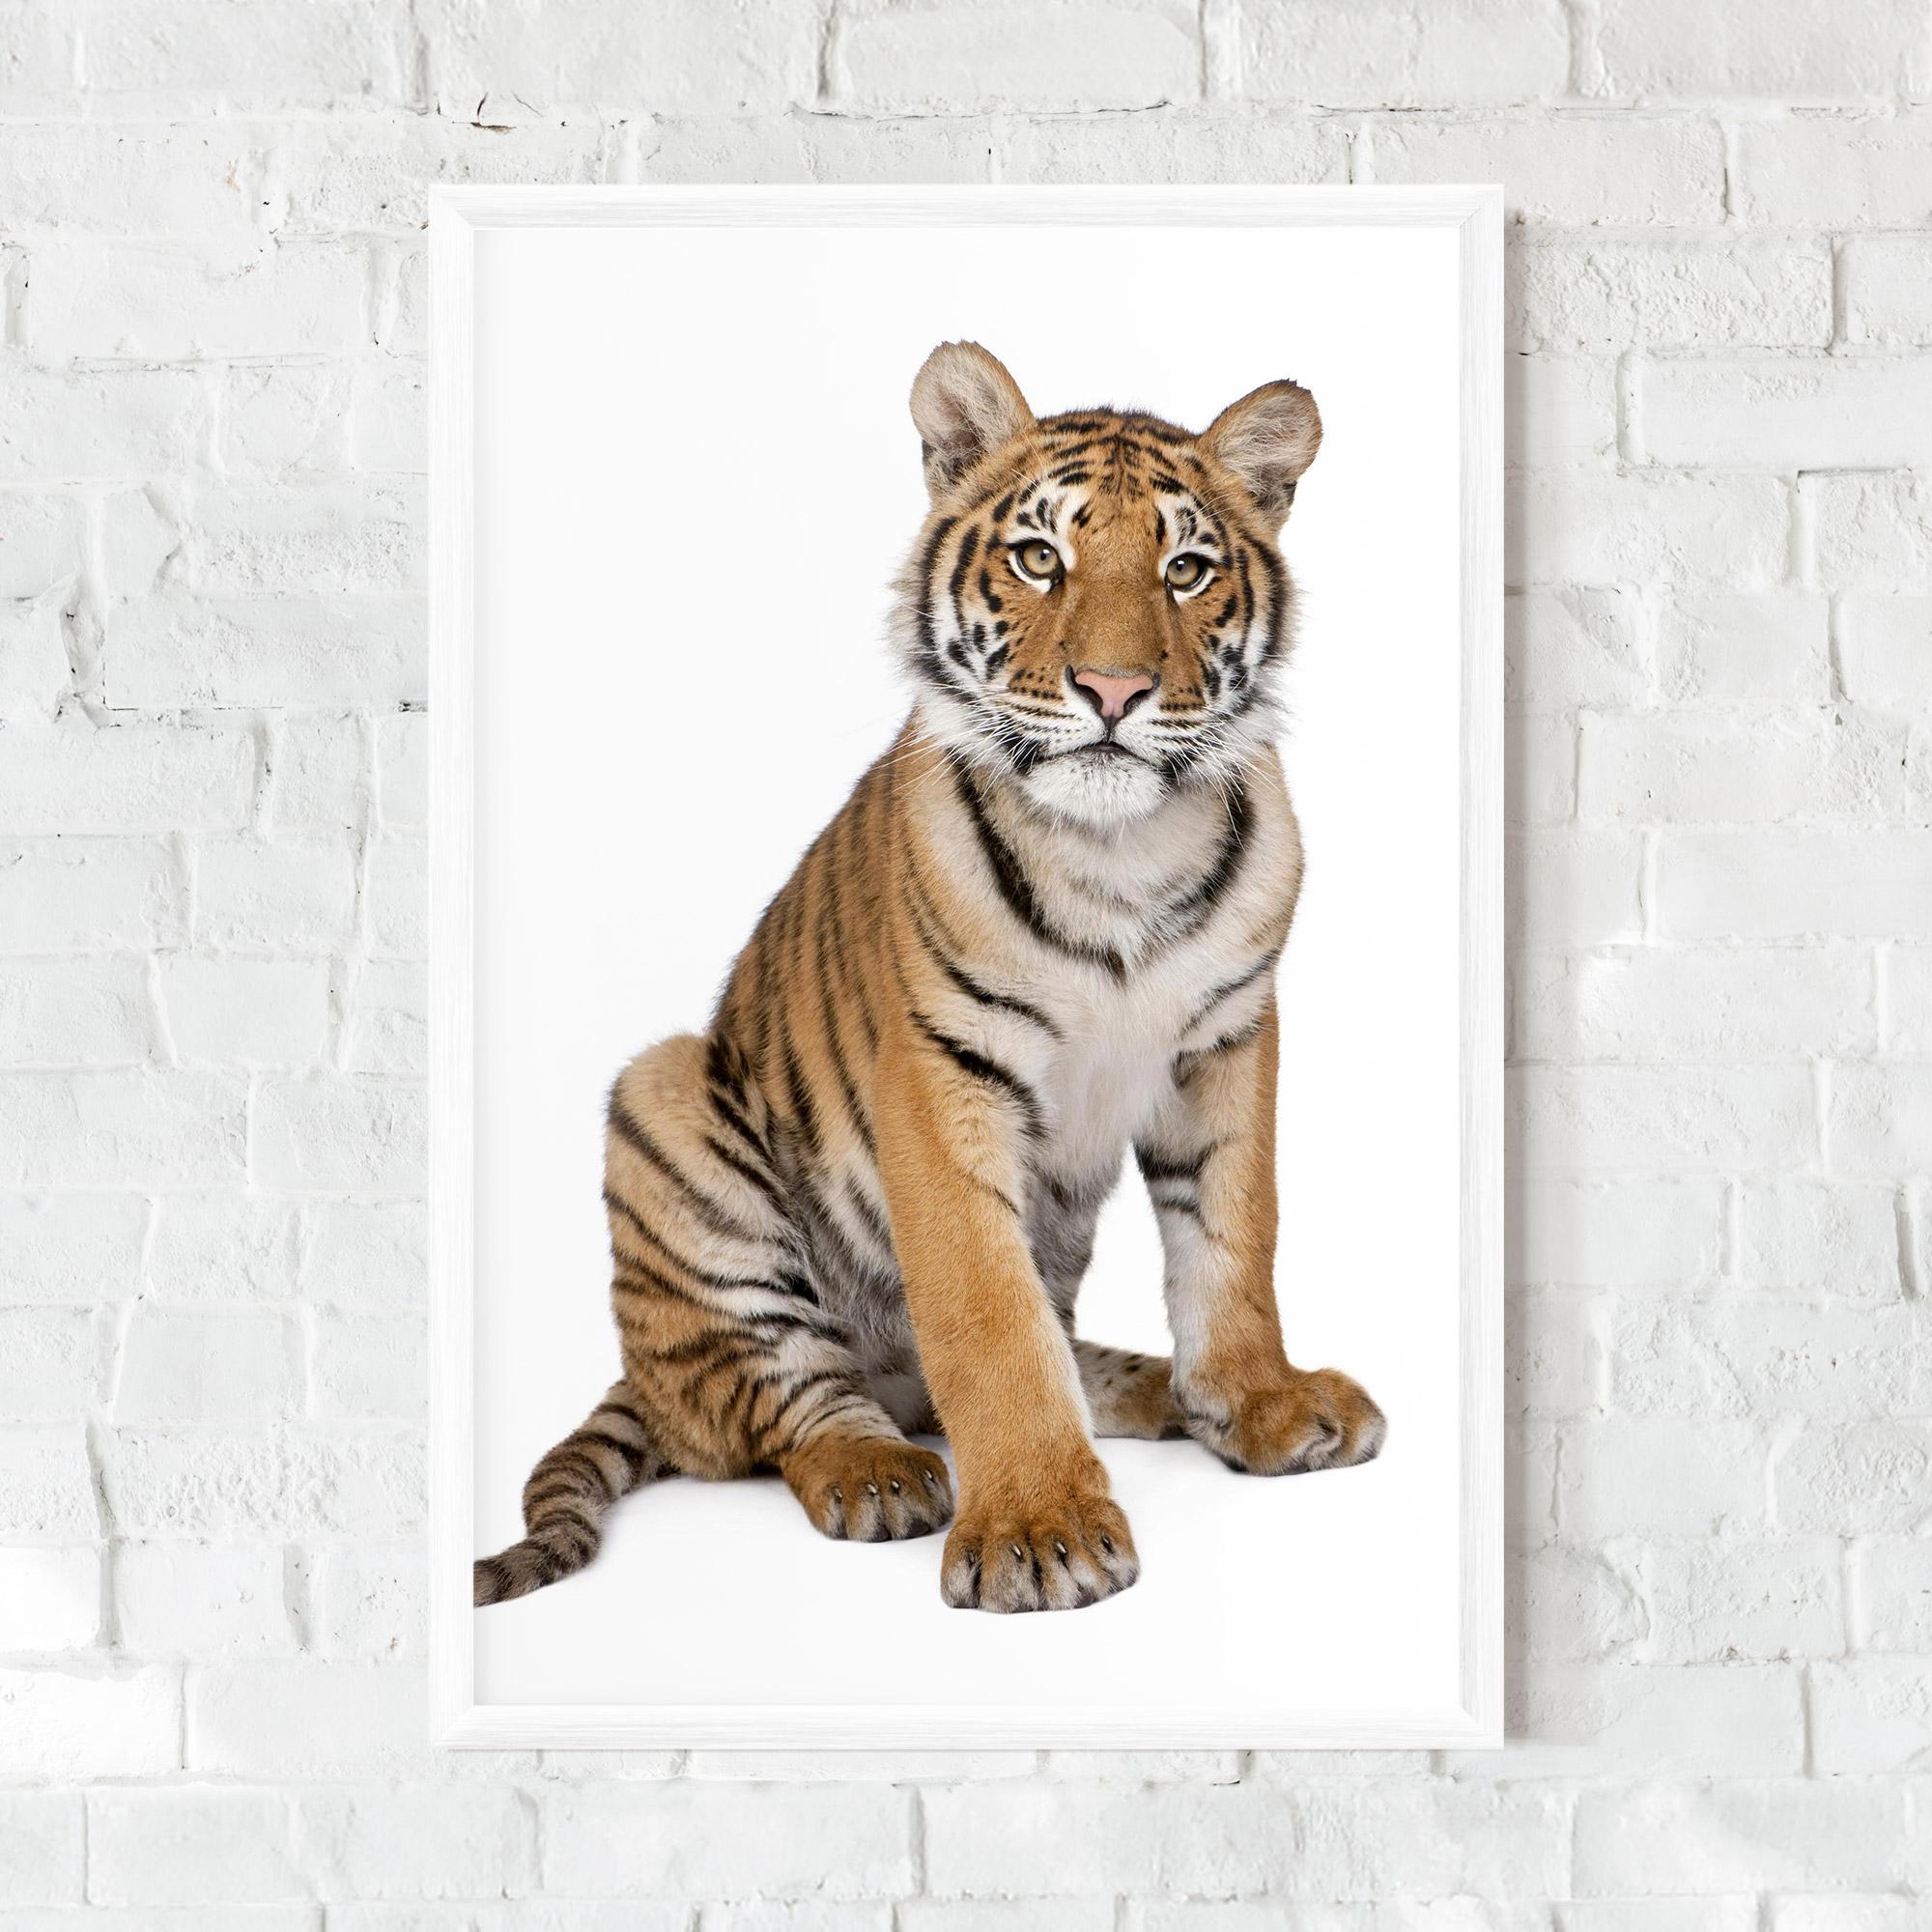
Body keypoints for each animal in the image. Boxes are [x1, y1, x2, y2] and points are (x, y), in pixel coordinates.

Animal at [474, 341, 1386, 1616]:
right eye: (1040, 556)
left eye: (1187, 569)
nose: (1113, 690)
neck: (1118, 850)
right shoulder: (939, 1067)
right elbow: (986, 1314)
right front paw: (1040, 1529)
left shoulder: (1226, 1038)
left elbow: (1231, 1239)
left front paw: (1257, 1402)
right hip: (665, 1102)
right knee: (780, 1401)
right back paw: (879, 1470)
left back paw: (1148, 1389)